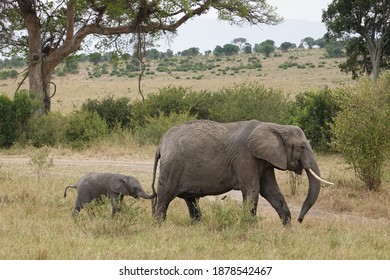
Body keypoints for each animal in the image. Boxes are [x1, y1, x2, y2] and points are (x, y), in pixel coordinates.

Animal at [151, 119, 334, 224]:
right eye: (302, 147)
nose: (300, 220)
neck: (274, 126)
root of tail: (161, 143)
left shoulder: (265, 161)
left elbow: (272, 192)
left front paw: (288, 230)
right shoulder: (246, 156)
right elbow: (253, 190)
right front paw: (251, 228)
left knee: (191, 200)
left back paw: (197, 225)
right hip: (172, 166)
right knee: (165, 197)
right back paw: (159, 225)